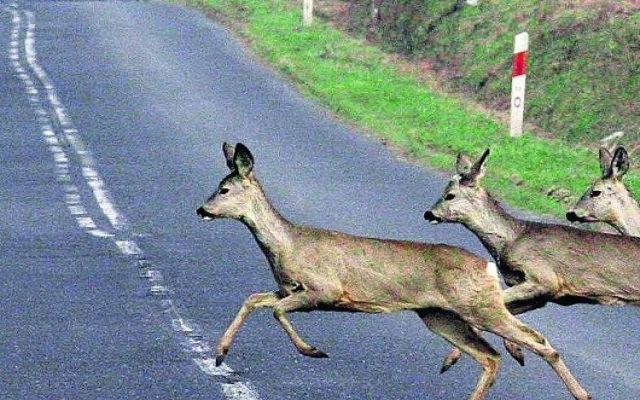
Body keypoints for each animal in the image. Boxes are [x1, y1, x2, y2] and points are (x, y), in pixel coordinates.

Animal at [195, 142, 592, 398]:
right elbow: (253, 299)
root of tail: (486, 265)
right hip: (440, 316)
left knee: (537, 341)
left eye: (224, 189)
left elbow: (276, 310)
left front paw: (314, 351)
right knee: (490, 357)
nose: (201, 209)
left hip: (478, 306)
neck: (287, 244)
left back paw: (582, 393)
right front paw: (220, 354)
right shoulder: (288, 288)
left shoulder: (324, 289)